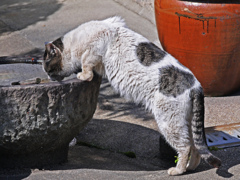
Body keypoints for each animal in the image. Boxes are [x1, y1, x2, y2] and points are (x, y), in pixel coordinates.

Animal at [42, 16, 221, 176]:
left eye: (49, 69)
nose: (49, 78)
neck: (74, 42)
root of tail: (196, 85)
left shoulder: (98, 42)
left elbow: (87, 63)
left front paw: (83, 75)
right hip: (184, 121)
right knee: (195, 145)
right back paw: (191, 167)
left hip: (169, 122)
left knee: (186, 146)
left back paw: (178, 170)